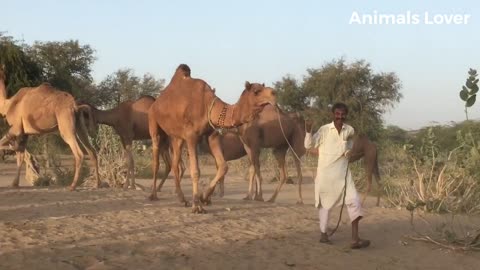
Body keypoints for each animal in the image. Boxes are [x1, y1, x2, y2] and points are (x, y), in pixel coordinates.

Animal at [148, 63, 276, 213]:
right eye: (256, 91)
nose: (274, 93)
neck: (208, 105)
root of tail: (156, 103)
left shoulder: (212, 135)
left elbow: (223, 166)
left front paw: (204, 197)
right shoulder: (191, 136)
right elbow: (196, 171)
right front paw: (197, 205)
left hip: (176, 137)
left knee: (175, 164)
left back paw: (182, 199)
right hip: (154, 124)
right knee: (156, 160)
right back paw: (153, 195)